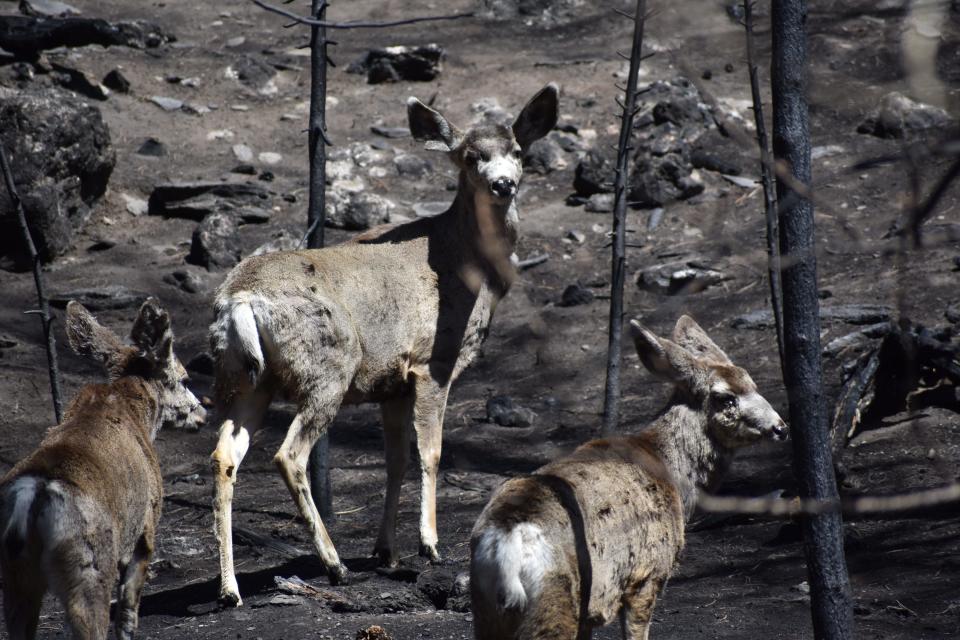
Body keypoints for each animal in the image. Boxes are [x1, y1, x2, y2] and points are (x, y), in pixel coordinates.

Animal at [0, 300, 206, 640]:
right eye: (186, 379)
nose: (204, 414)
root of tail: (35, 494)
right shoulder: (146, 525)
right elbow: (128, 610)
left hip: (17, 576)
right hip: (89, 564)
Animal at [206, 82, 560, 604]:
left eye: (517, 151)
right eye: (470, 156)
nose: (503, 184)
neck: (467, 264)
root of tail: (238, 301)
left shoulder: (391, 382)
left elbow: (396, 460)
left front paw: (386, 551)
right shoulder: (432, 361)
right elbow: (431, 452)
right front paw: (430, 544)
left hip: (246, 379)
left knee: (224, 457)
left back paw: (230, 589)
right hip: (327, 367)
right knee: (289, 454)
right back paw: (334, 565)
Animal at [470, 316, 788, 640]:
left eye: (752, 382)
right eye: (725, 398)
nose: (781, 427)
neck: (669, 471)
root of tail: (506, 541)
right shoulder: (647, 573)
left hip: (487, 612)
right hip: (556, 602)